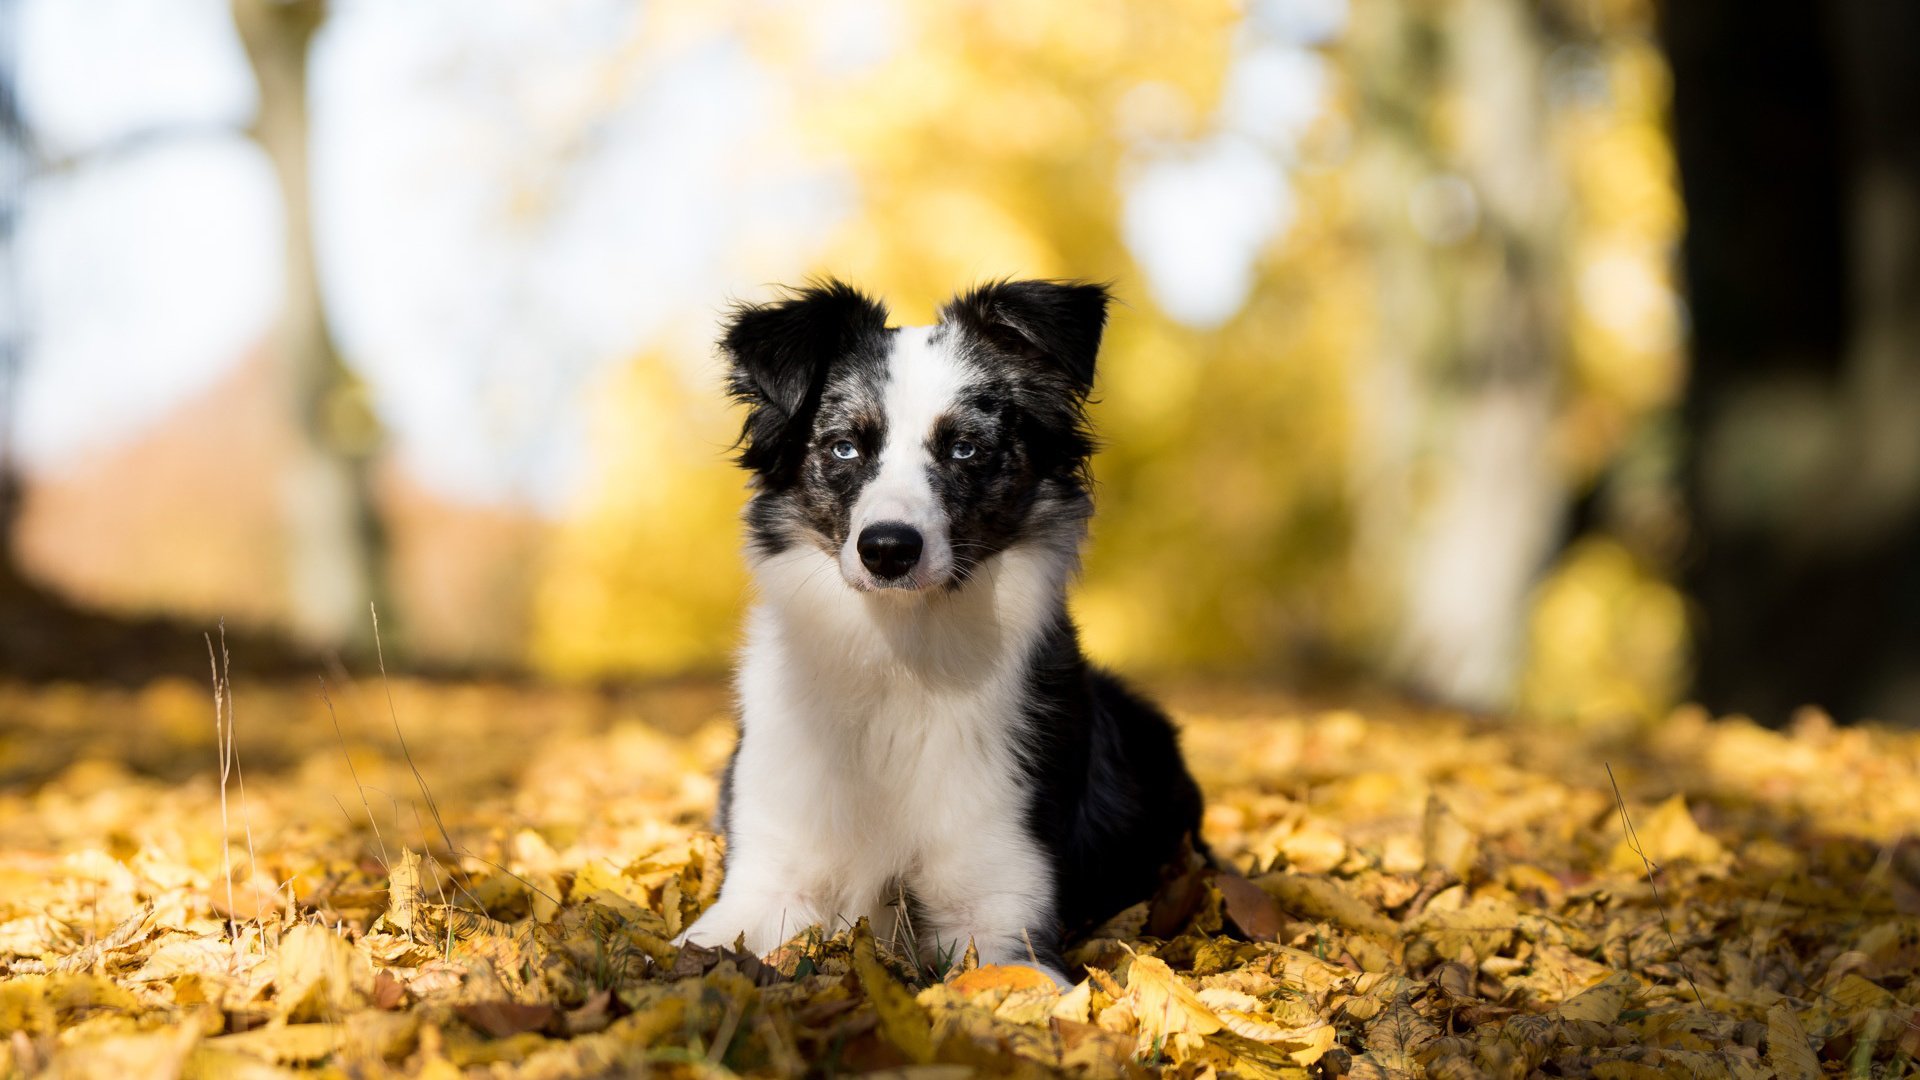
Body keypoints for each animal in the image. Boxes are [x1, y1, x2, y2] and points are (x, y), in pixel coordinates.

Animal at [679, 278, 1198, 983]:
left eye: (964, 448)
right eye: (845, 447)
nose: (888, 550)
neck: (899, 657)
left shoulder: (1001, 918)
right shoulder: (765, 886)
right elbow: (691, 955)